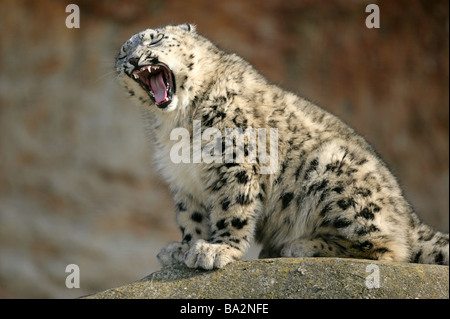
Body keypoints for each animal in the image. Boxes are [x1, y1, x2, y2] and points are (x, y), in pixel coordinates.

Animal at [115, 23, 446, 270]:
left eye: (156, 38)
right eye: (122, 53)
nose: (133, 60)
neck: (175, 121)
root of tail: (409, 218)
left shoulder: (235, 155)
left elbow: (231, 206)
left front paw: (217, 249)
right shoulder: (183, 178)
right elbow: (191, 216)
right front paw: (184, 247)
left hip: (333, 170)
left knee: (387, 248)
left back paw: (299, 245)